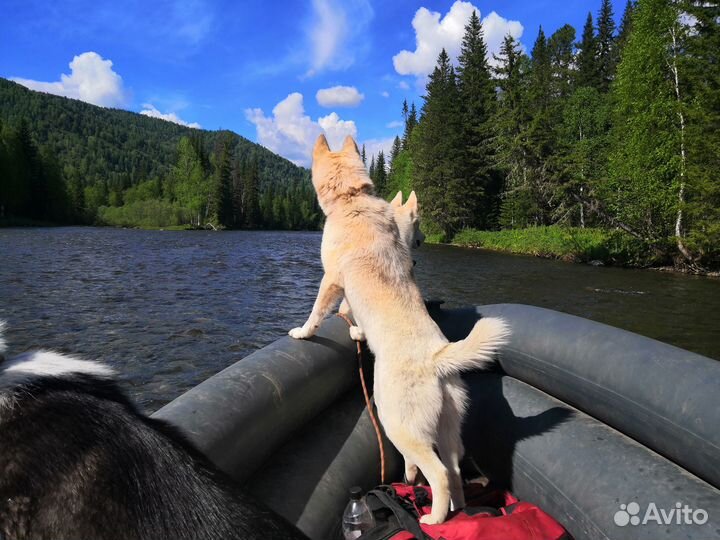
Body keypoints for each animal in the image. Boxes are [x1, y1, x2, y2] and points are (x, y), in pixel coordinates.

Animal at [289, 135, 509, 524]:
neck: (352, 199)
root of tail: (437, 359)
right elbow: (352, 316)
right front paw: (357, 334)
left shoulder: (331, 280)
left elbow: (318, 311)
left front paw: (303, 332)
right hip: (449, 426)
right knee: (454, 470)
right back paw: (455, 511)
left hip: (398, 424)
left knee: (438, 472)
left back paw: (432, 518)